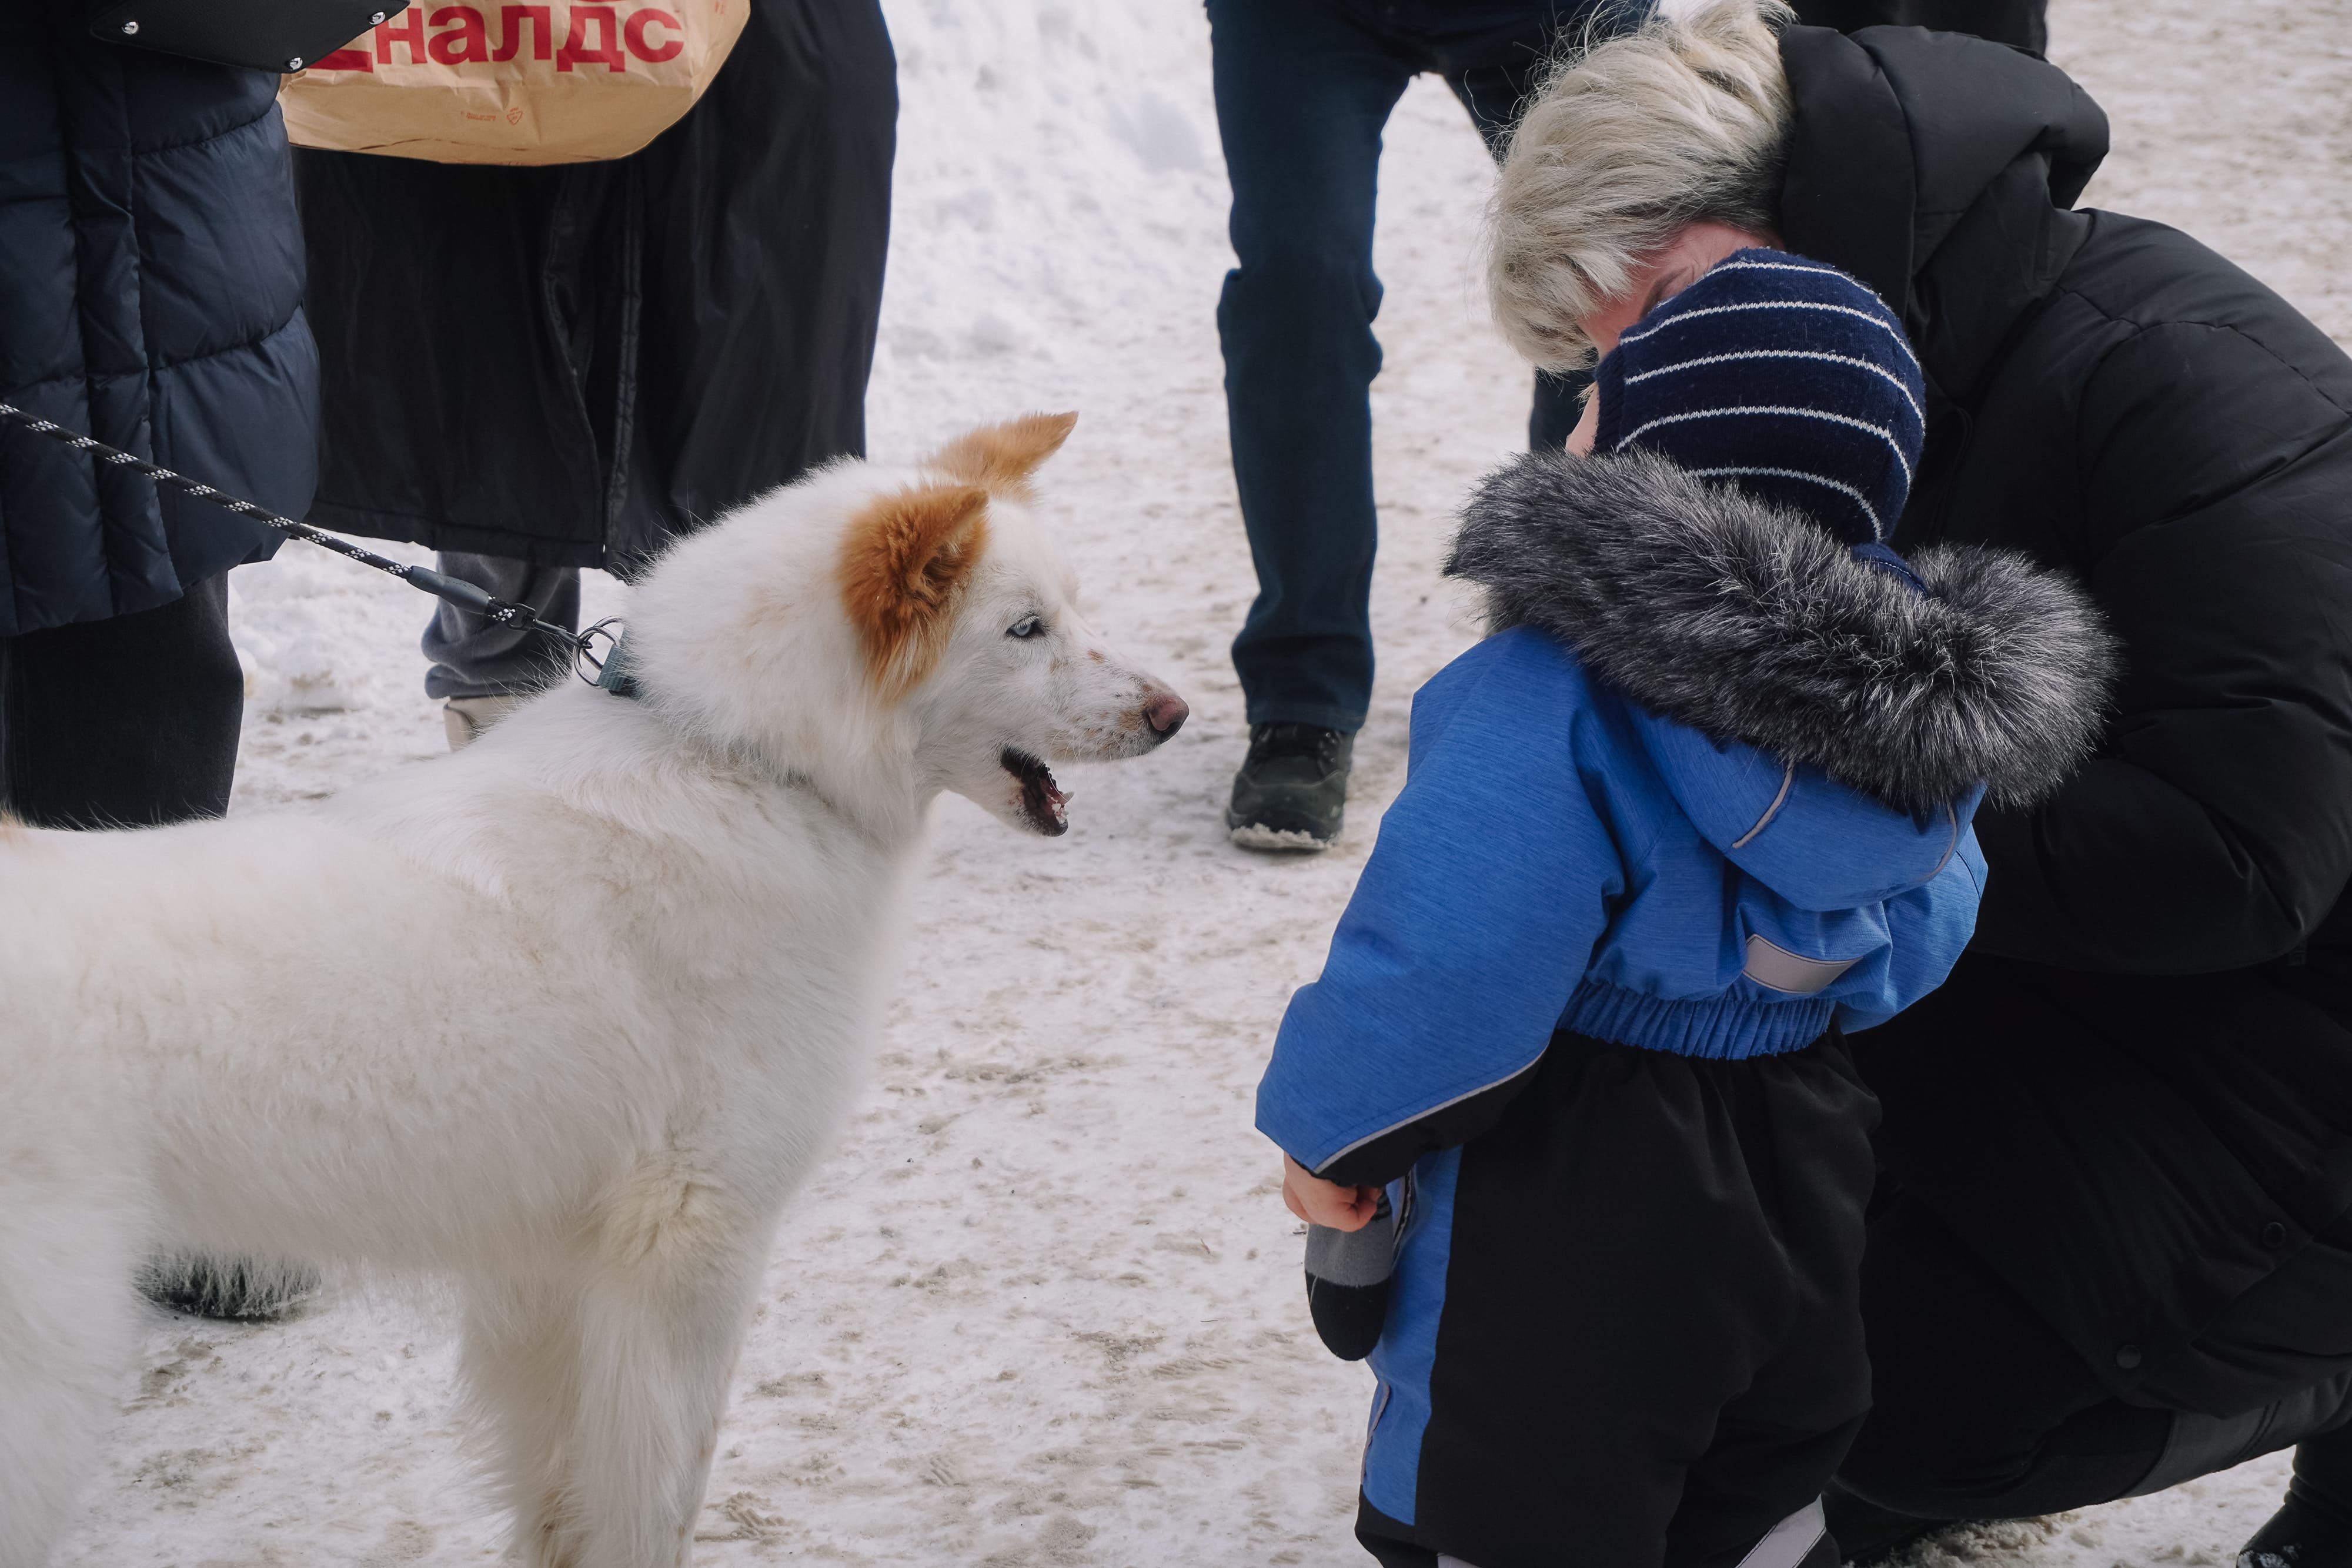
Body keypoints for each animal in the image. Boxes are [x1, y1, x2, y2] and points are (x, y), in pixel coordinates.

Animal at [0, 413, 1176, 1568]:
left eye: (1071, 609)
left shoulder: (552, 1274)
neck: (738, 760)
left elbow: (562, 1491)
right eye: (1025, 629)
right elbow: (657, 1494)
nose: (1175, 712)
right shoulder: (695, 1249)